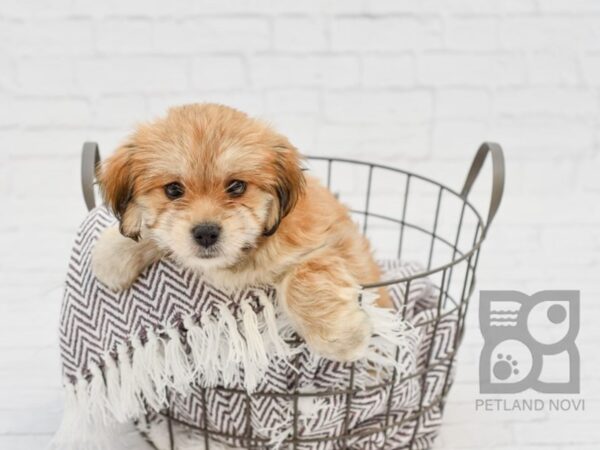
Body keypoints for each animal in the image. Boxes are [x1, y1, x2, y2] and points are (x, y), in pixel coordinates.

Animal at [91, 103, 392, 362]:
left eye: (236, 187)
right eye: (173, 190)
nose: (206, 233)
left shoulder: (333, 245)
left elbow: (303, 277)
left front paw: (340, 337)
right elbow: (155, 231)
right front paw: (112, 255)